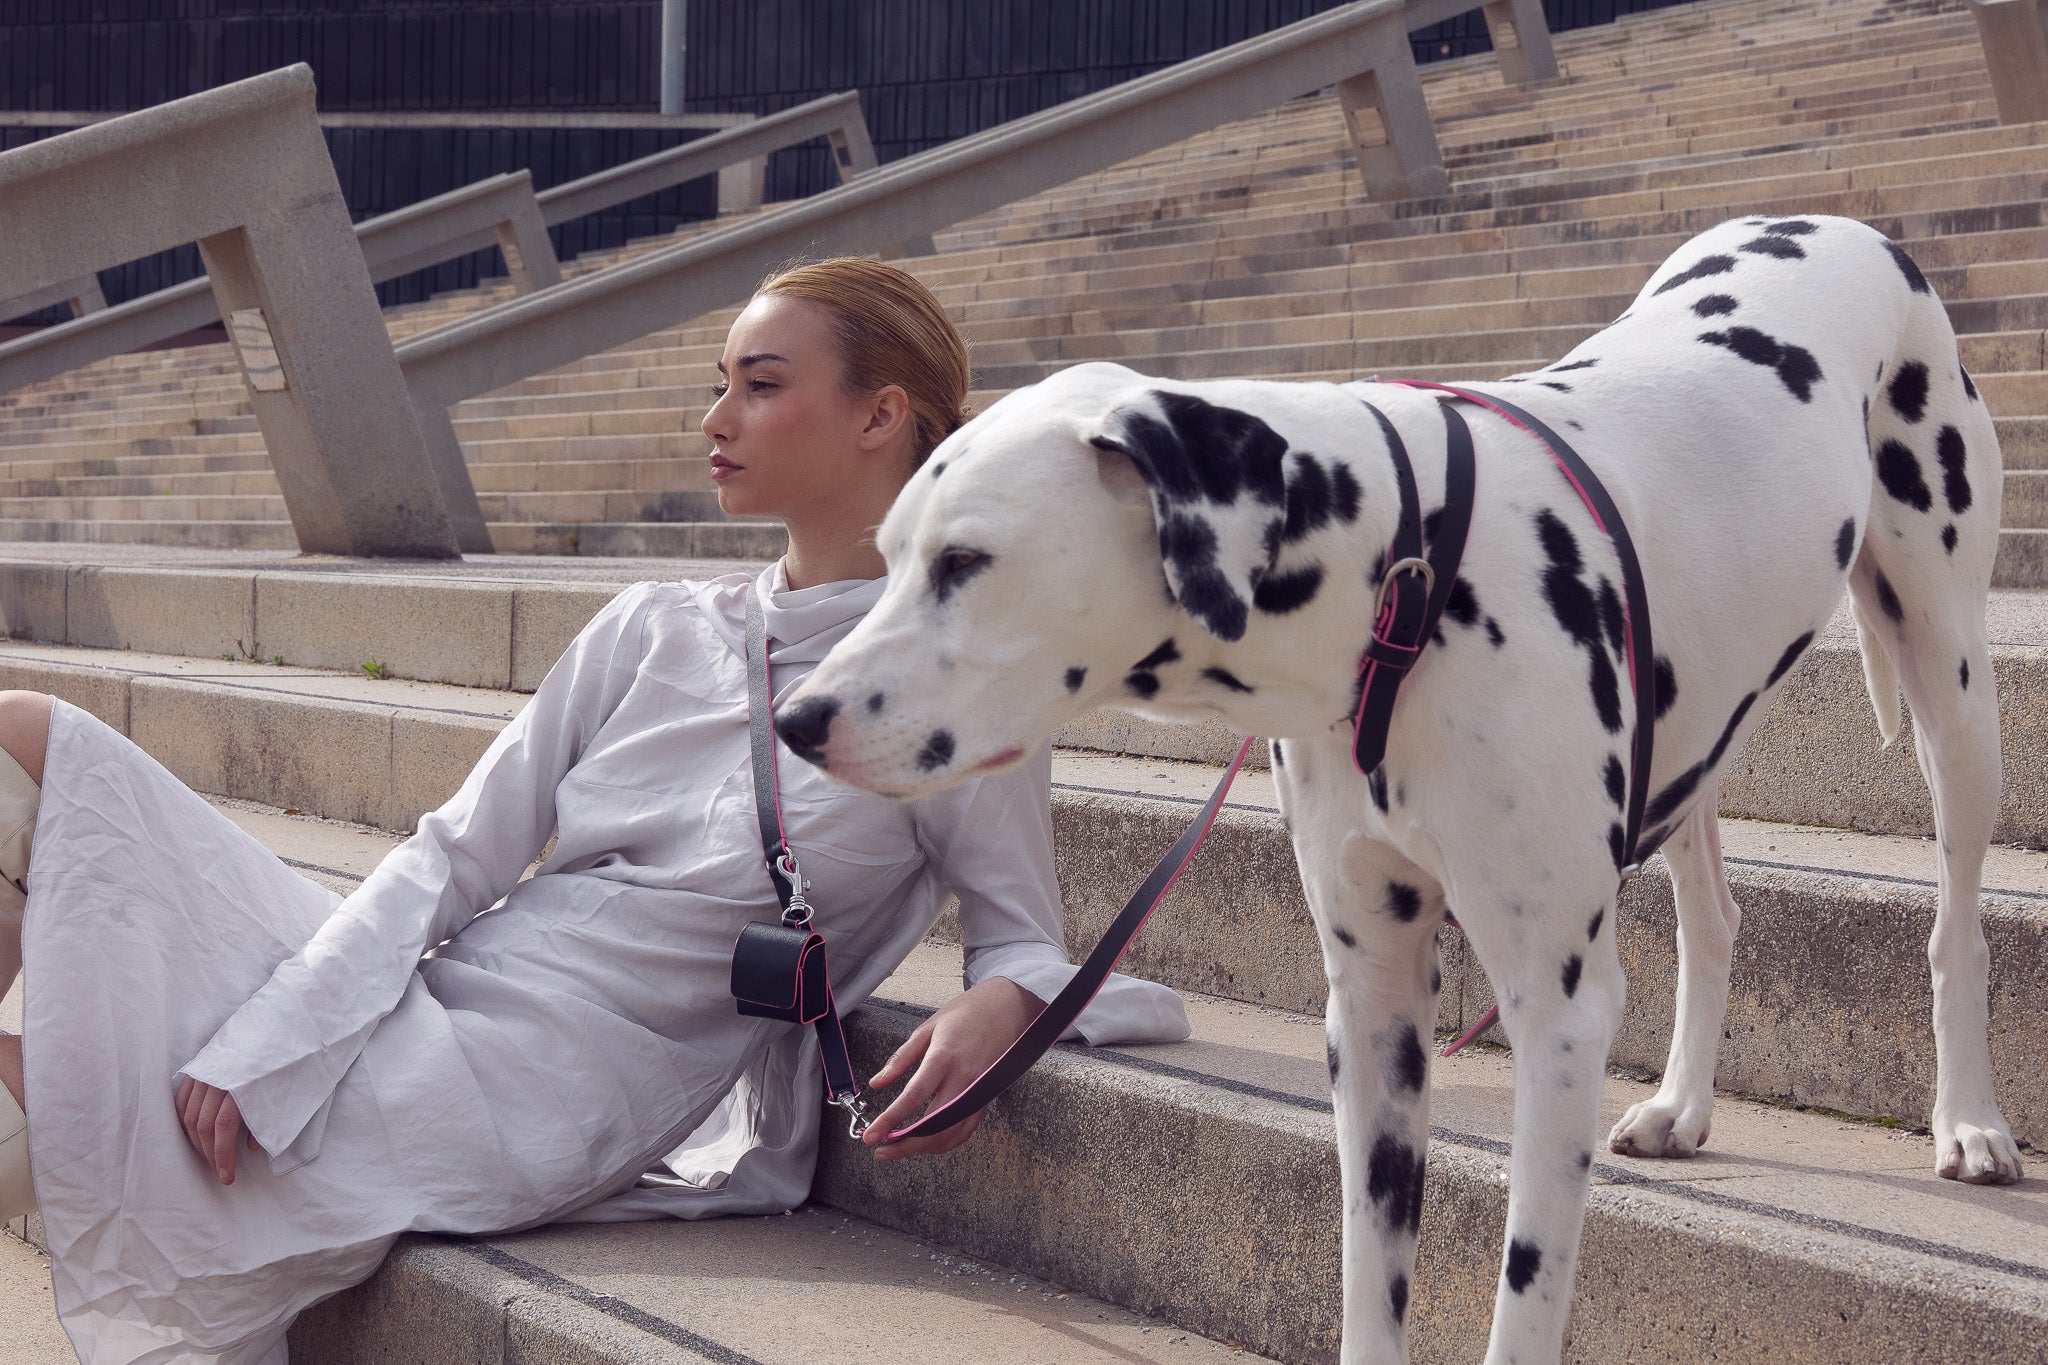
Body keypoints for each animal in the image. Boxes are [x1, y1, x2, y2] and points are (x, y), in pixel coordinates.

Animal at [774, 213, 2023, 1358]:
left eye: (964, 562)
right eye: (886, 555)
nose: (793, 720)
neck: (1404, 574)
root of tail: (1836, 223)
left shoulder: (1555, 1015)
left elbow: (1523, 1299)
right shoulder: (1371, 1007)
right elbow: (1367, 1283)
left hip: (1949, 684)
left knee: (1954, 926)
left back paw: (1967, 1119)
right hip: (1688, 738)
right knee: (1713, 915)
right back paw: (1681, 1105)